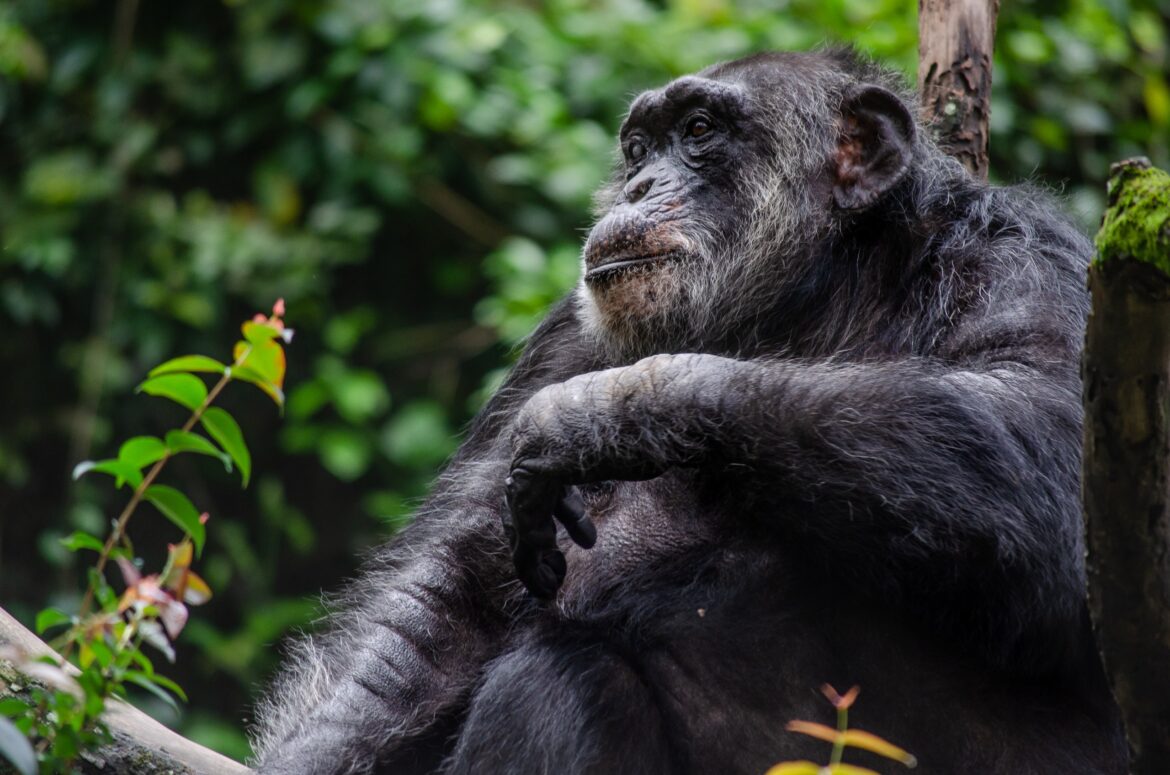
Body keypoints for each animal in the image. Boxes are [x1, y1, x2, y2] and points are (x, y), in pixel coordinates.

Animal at [253, 48, 1123, 775]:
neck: (815, 293)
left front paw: (599, 413)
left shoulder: (1024, 259)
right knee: (553, 682)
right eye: (640, 147)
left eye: (700, 130)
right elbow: (450, 601)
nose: (637, 187)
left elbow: (1054, 462)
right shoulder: (566, 334)